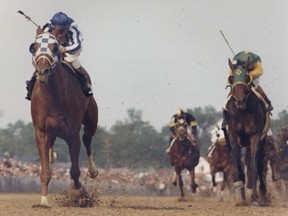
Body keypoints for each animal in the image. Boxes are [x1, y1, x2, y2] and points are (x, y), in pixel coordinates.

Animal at [28, 32, 98, 206]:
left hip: (91, 120)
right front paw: (44, 201)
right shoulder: (41, 131)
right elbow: (45, 171)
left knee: (87, 138)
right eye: (35, 47)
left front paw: (79, 193)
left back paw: (93, 171)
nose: (42, 71)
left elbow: (75, 171)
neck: (54, 97)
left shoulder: (72, 133)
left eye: (54, 48)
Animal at [226, 57, 272, 206]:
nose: (239, 101)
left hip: (263, 141)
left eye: (247, 76)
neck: (242, 111)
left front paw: (254, 198)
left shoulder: (255, 136)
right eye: (231, 78)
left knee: (259, 163)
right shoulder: (233, 134)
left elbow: (253, 167)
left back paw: (263, 194)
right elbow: (237, 160)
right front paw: (242, 194)